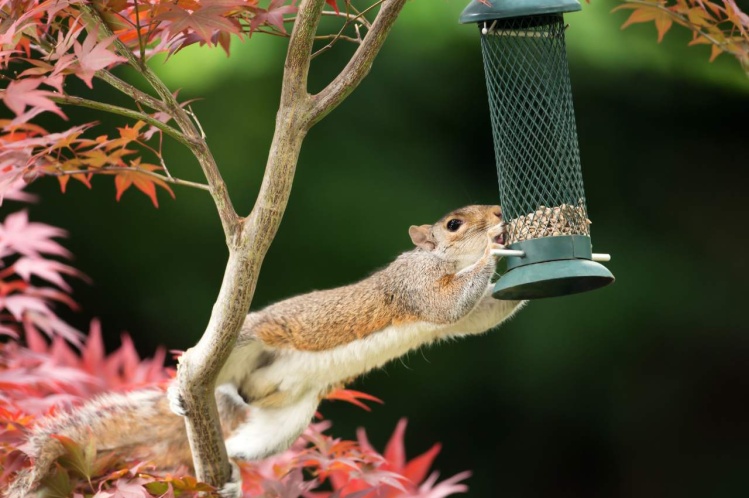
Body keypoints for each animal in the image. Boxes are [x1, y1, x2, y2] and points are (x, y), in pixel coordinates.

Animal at [10, 204, 524, 496]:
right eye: (454, 224)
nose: (500, 213)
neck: (440, 259)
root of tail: (243, 391)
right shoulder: (412, 286)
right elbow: (448, 306)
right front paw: (494, 250)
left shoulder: (464, 313)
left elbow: (481, 315)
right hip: (242, 342)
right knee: (199, 372)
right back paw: (181, 389)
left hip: (284, 422)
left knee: (243, 446)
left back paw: (230, 477)